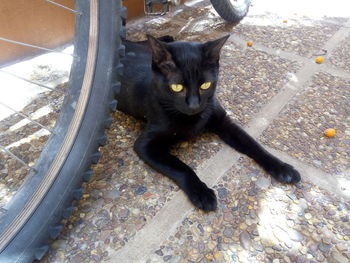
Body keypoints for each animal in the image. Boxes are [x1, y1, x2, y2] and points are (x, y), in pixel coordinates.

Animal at [116, 35, 300, 212]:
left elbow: (253, 144)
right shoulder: (145, 145)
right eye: (177, 87)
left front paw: (282, 167)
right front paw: (202, 193)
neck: (191, 118)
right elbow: (181, 167)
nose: (194, 105)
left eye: (205, 85)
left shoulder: (223, 121)